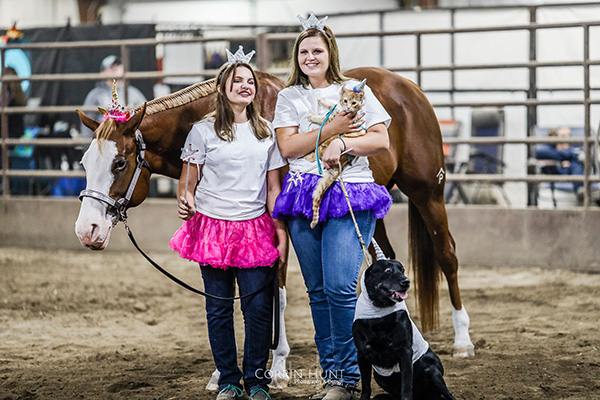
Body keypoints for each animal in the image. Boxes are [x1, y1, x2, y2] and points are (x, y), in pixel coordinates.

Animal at [353, 258, 455, 400]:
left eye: (402, 270)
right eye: (388, 270)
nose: (406, 282)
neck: (379, 312)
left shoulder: (405, 352)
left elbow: (406, 385)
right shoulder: (362, 353)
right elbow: (366, 385)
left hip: (432, 371)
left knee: (448, 394)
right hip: (379, 376)